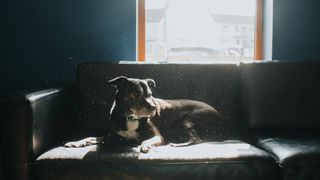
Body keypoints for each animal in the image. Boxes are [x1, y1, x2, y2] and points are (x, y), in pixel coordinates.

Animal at [63, 76, 226, 153]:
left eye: (150, 95)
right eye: (136, 94)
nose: (154, 108)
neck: (131, 117)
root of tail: (222, 120)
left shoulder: (157, 137)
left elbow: (145, 141)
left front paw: (144, 146)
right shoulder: (112, 137)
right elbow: (91, 137)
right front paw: (76, 142)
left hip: (186, 120)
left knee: (196, 139)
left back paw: (177, 143)